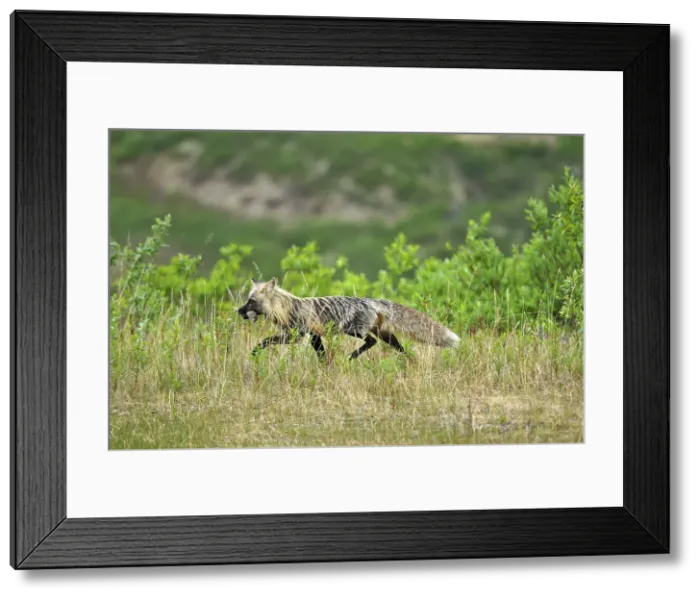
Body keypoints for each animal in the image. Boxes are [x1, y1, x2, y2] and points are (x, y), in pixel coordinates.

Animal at [237, 277, 460, 360]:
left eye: (250, 301)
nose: (238, 311)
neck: (287, 308)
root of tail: (370, 301)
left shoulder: (301, 335)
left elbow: (267, 340)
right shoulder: (308, 336)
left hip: (354, 330)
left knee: (371, 342)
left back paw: (352, 357)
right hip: (386, 335)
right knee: (400, 348)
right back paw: (408, 362)